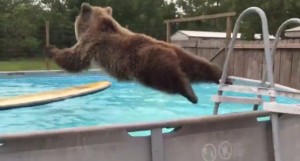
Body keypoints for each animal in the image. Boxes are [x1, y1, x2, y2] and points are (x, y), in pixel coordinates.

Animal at [44, 2, 229, 104]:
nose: (82, 7)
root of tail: (170, 50)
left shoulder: (91, 44)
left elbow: (74, 59)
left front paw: (51, 49)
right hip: (183, 55)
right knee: (201, 66)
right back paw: (222, 76)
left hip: (148, 64)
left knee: (170, 79)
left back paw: (190, 93)